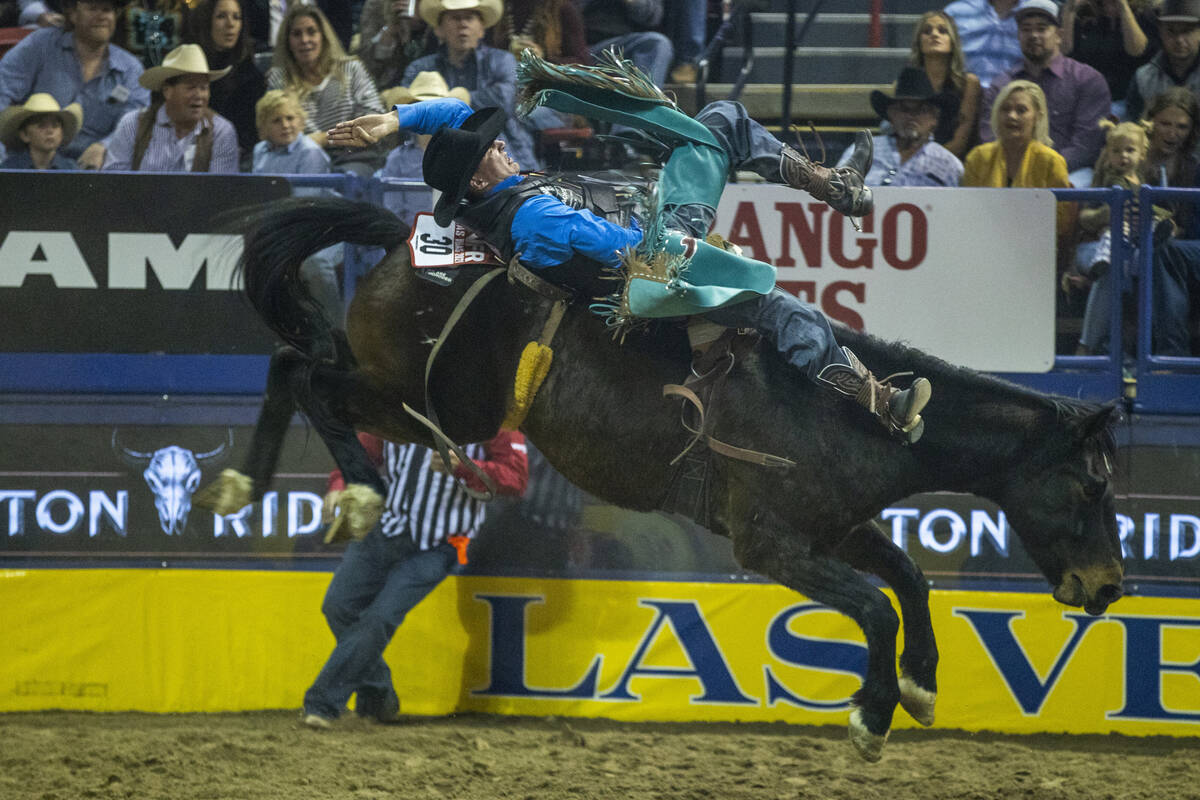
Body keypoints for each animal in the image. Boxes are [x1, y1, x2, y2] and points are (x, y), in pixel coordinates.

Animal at [196, 196, 1123, 762]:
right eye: (1089, 488)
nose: (1109, 586)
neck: (850, 409)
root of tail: (403, 238)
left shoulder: (833, 528)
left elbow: (909, 578)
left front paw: (923, 687)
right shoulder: (771, 544)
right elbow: (872, 607)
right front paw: (870, 717)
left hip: (411, 393)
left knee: (291, 365)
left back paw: (251, 486)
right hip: (433, 400)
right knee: (308, 376)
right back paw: (355, 493)